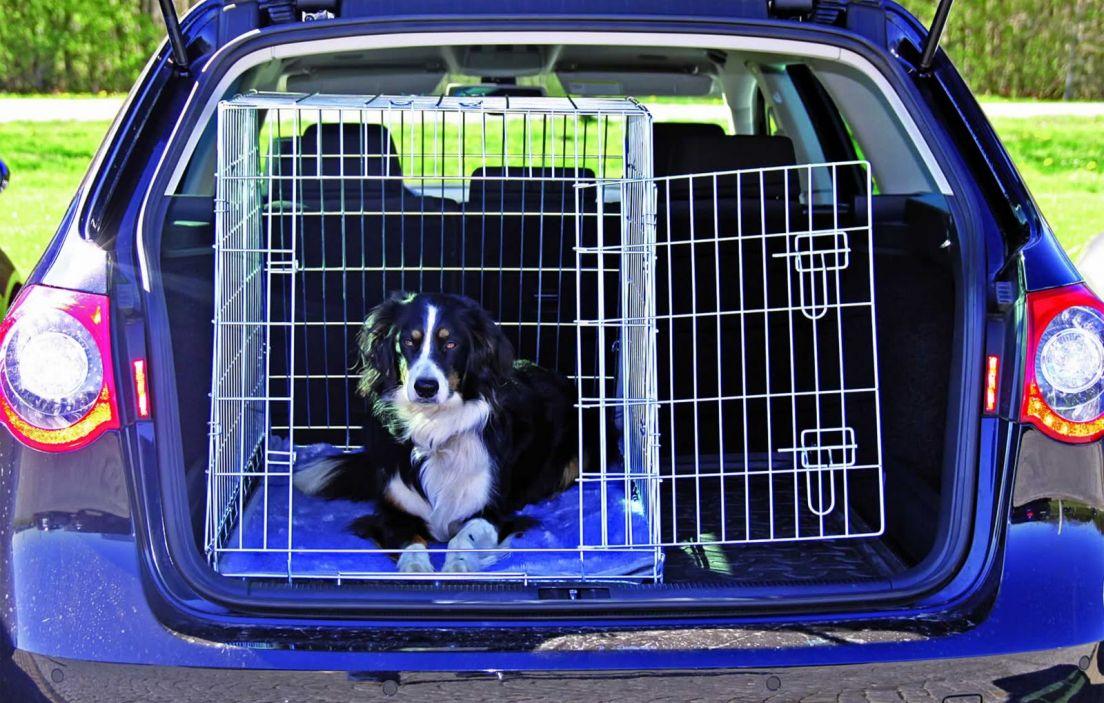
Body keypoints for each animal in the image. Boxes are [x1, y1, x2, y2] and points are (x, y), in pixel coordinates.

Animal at [293, 291, 578, 569]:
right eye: (409, 341)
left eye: (451, 344)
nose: (426, 388)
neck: (434, 426)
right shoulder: (393, 513)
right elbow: (411, 544)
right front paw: (415, 568)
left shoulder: (494, 512)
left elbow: (463, 537)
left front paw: (458, 567)